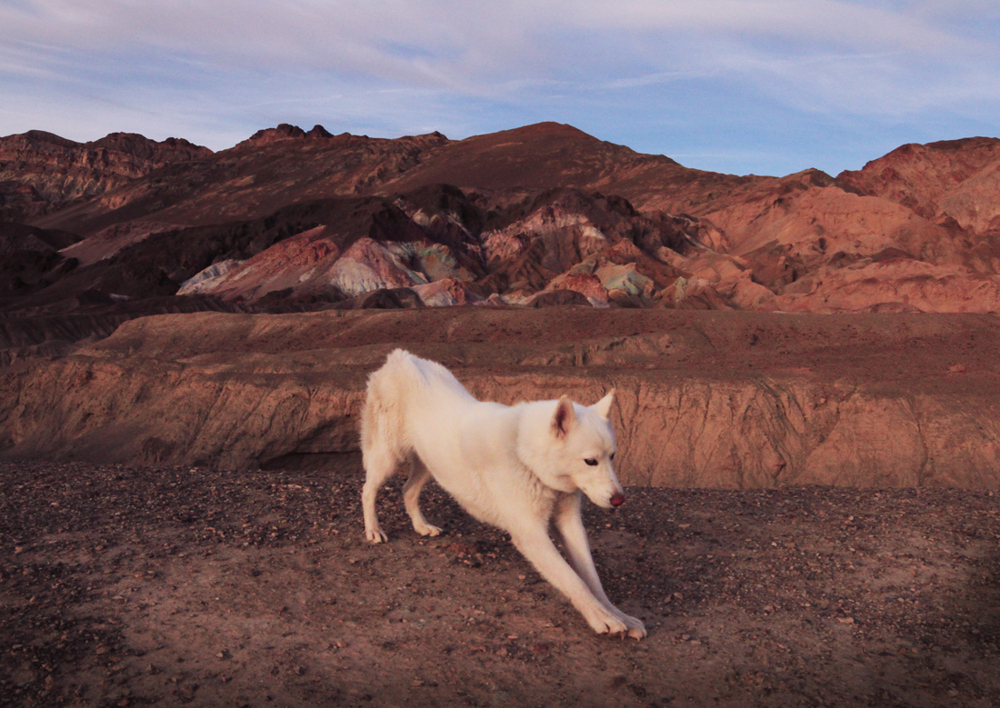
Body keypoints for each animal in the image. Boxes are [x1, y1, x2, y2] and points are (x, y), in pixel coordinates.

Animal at [360, 350, 648, 640]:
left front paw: (618, 614)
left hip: (430, 464)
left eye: (612, 457)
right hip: (388, 457)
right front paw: (602, 618)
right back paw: (373, 530)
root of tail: (401, 357)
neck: (525, 454)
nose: (619, 500)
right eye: (590, 461)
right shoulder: (531, 534)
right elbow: (573, 579)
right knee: (367, 490)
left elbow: (592, 578)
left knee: (407, 490)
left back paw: (421, 526)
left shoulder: (569, 523)